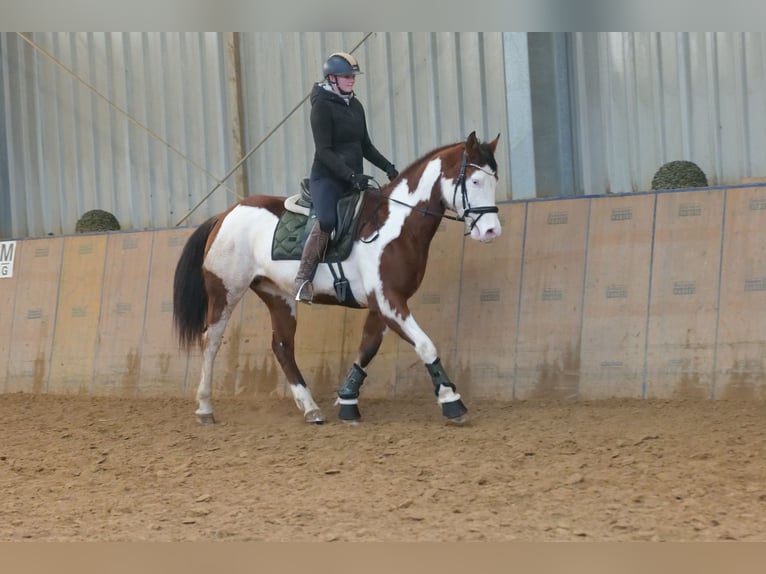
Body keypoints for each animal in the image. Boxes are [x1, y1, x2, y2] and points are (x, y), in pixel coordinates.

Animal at [173, 131, 502, 425]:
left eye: (494, 180)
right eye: (474, 180)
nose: (491, 231)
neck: (396, 225)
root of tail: (226, 213)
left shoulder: (382, 303)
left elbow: (367, 348)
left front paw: (347, 401)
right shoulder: (388, 300)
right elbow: (425, 345)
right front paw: (451, 400)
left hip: (278, 296)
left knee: (282, 347)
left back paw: (311, 408)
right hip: (225, 291)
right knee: (212, 341)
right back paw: (205, 408)